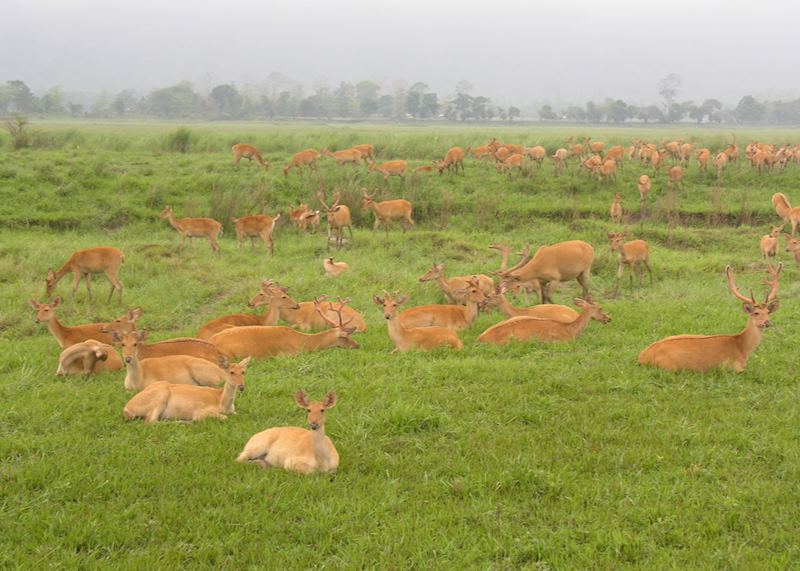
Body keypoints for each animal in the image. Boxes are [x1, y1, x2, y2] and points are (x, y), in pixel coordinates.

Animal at [638, 265, 781, 372]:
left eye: (768, 312)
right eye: (756, 313)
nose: (767, 322)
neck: (742, 348)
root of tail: (642, 356)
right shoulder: (733, 367)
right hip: (670, 367)